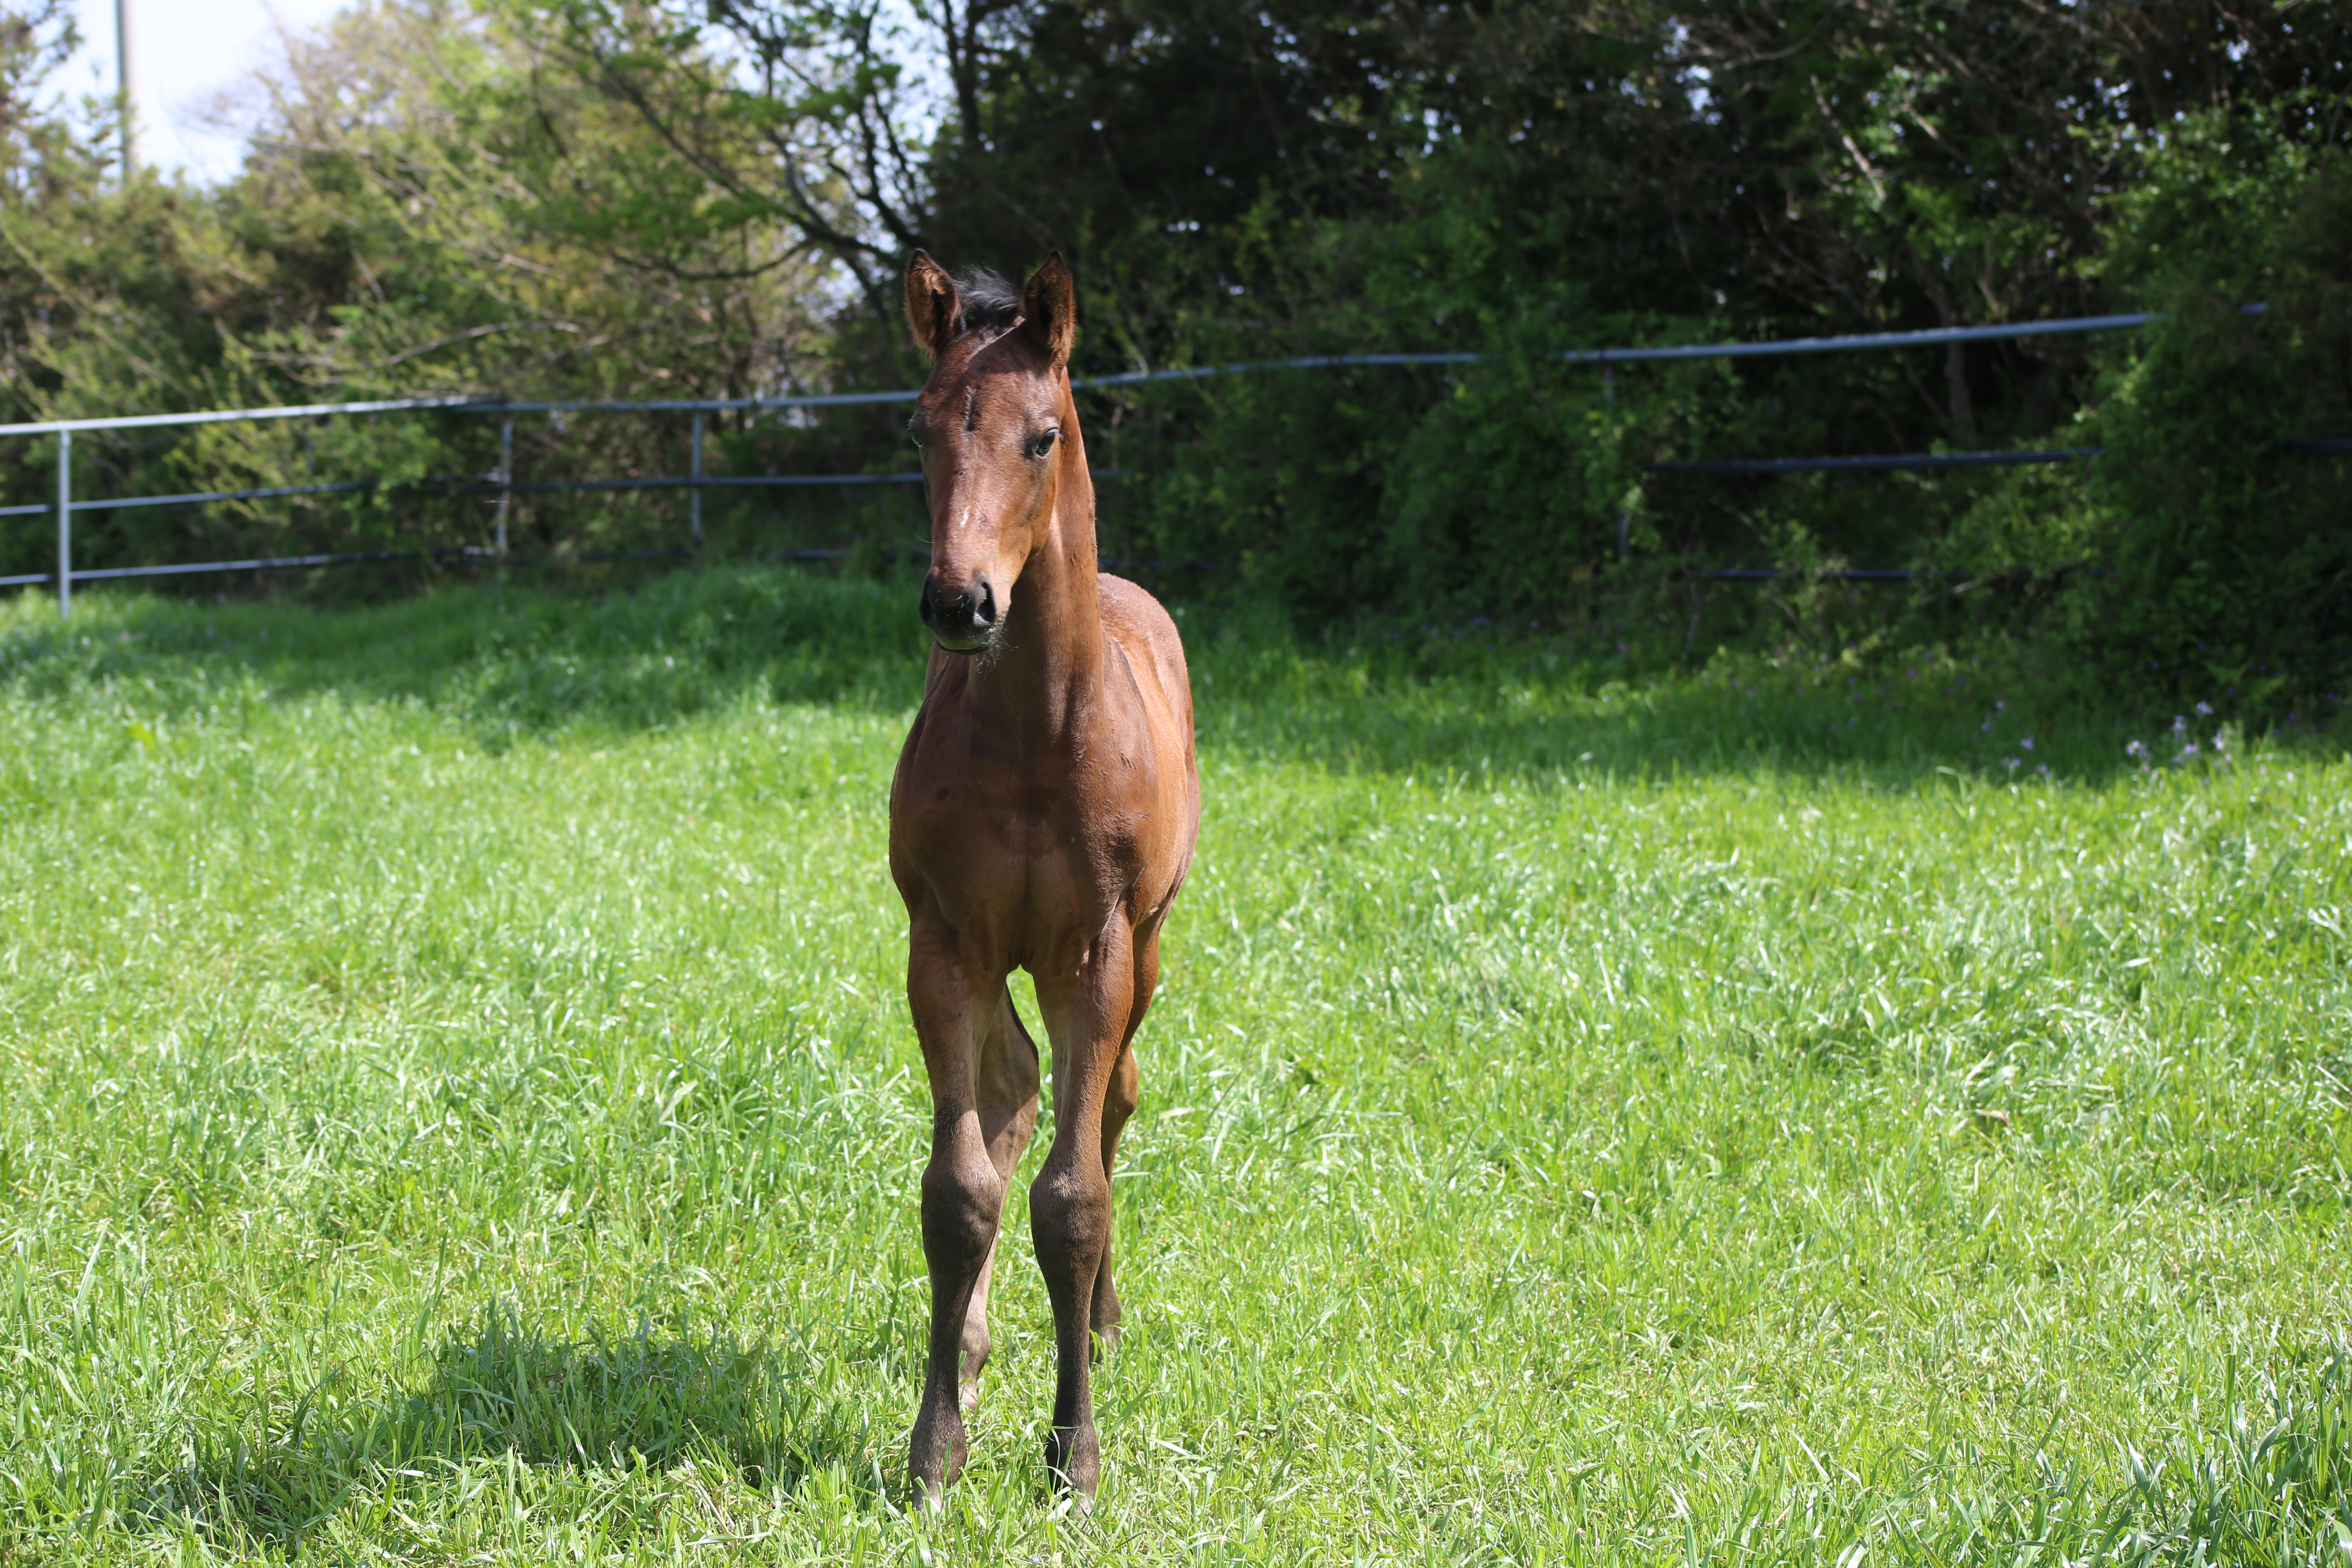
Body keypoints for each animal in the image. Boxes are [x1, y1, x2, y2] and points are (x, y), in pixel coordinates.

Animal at [889, 248, 1204, 1504]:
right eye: (920, 430)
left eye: (1041, 436)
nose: (959, 602)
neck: (1035, 735)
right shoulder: (945, 944)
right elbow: (962, 1190)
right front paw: (936, 1447)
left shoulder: (1096, 949)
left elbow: (1072, 1199)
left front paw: (1074, 1449)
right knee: (1016, 1089)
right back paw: (975, 1352)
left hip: (1149, 950)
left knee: (1110, 1102)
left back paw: (1106, 1323)